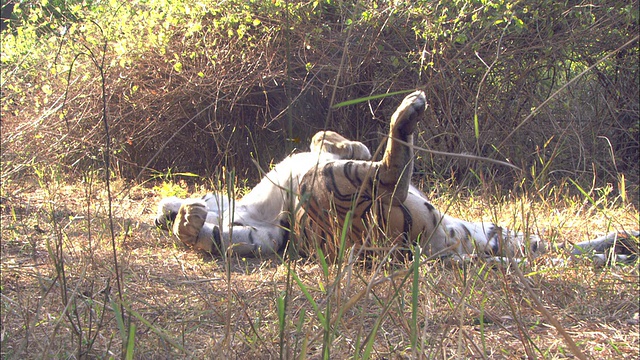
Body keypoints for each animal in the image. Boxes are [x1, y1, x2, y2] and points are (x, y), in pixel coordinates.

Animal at [154, 90, 544, 262]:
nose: (163, 216)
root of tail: (431, 245)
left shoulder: (269, 232)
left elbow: (324, 138)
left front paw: (185, 218)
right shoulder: (275, 228)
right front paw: (186, 222)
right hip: (335, 187)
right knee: (388, 178)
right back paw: (407, 112)